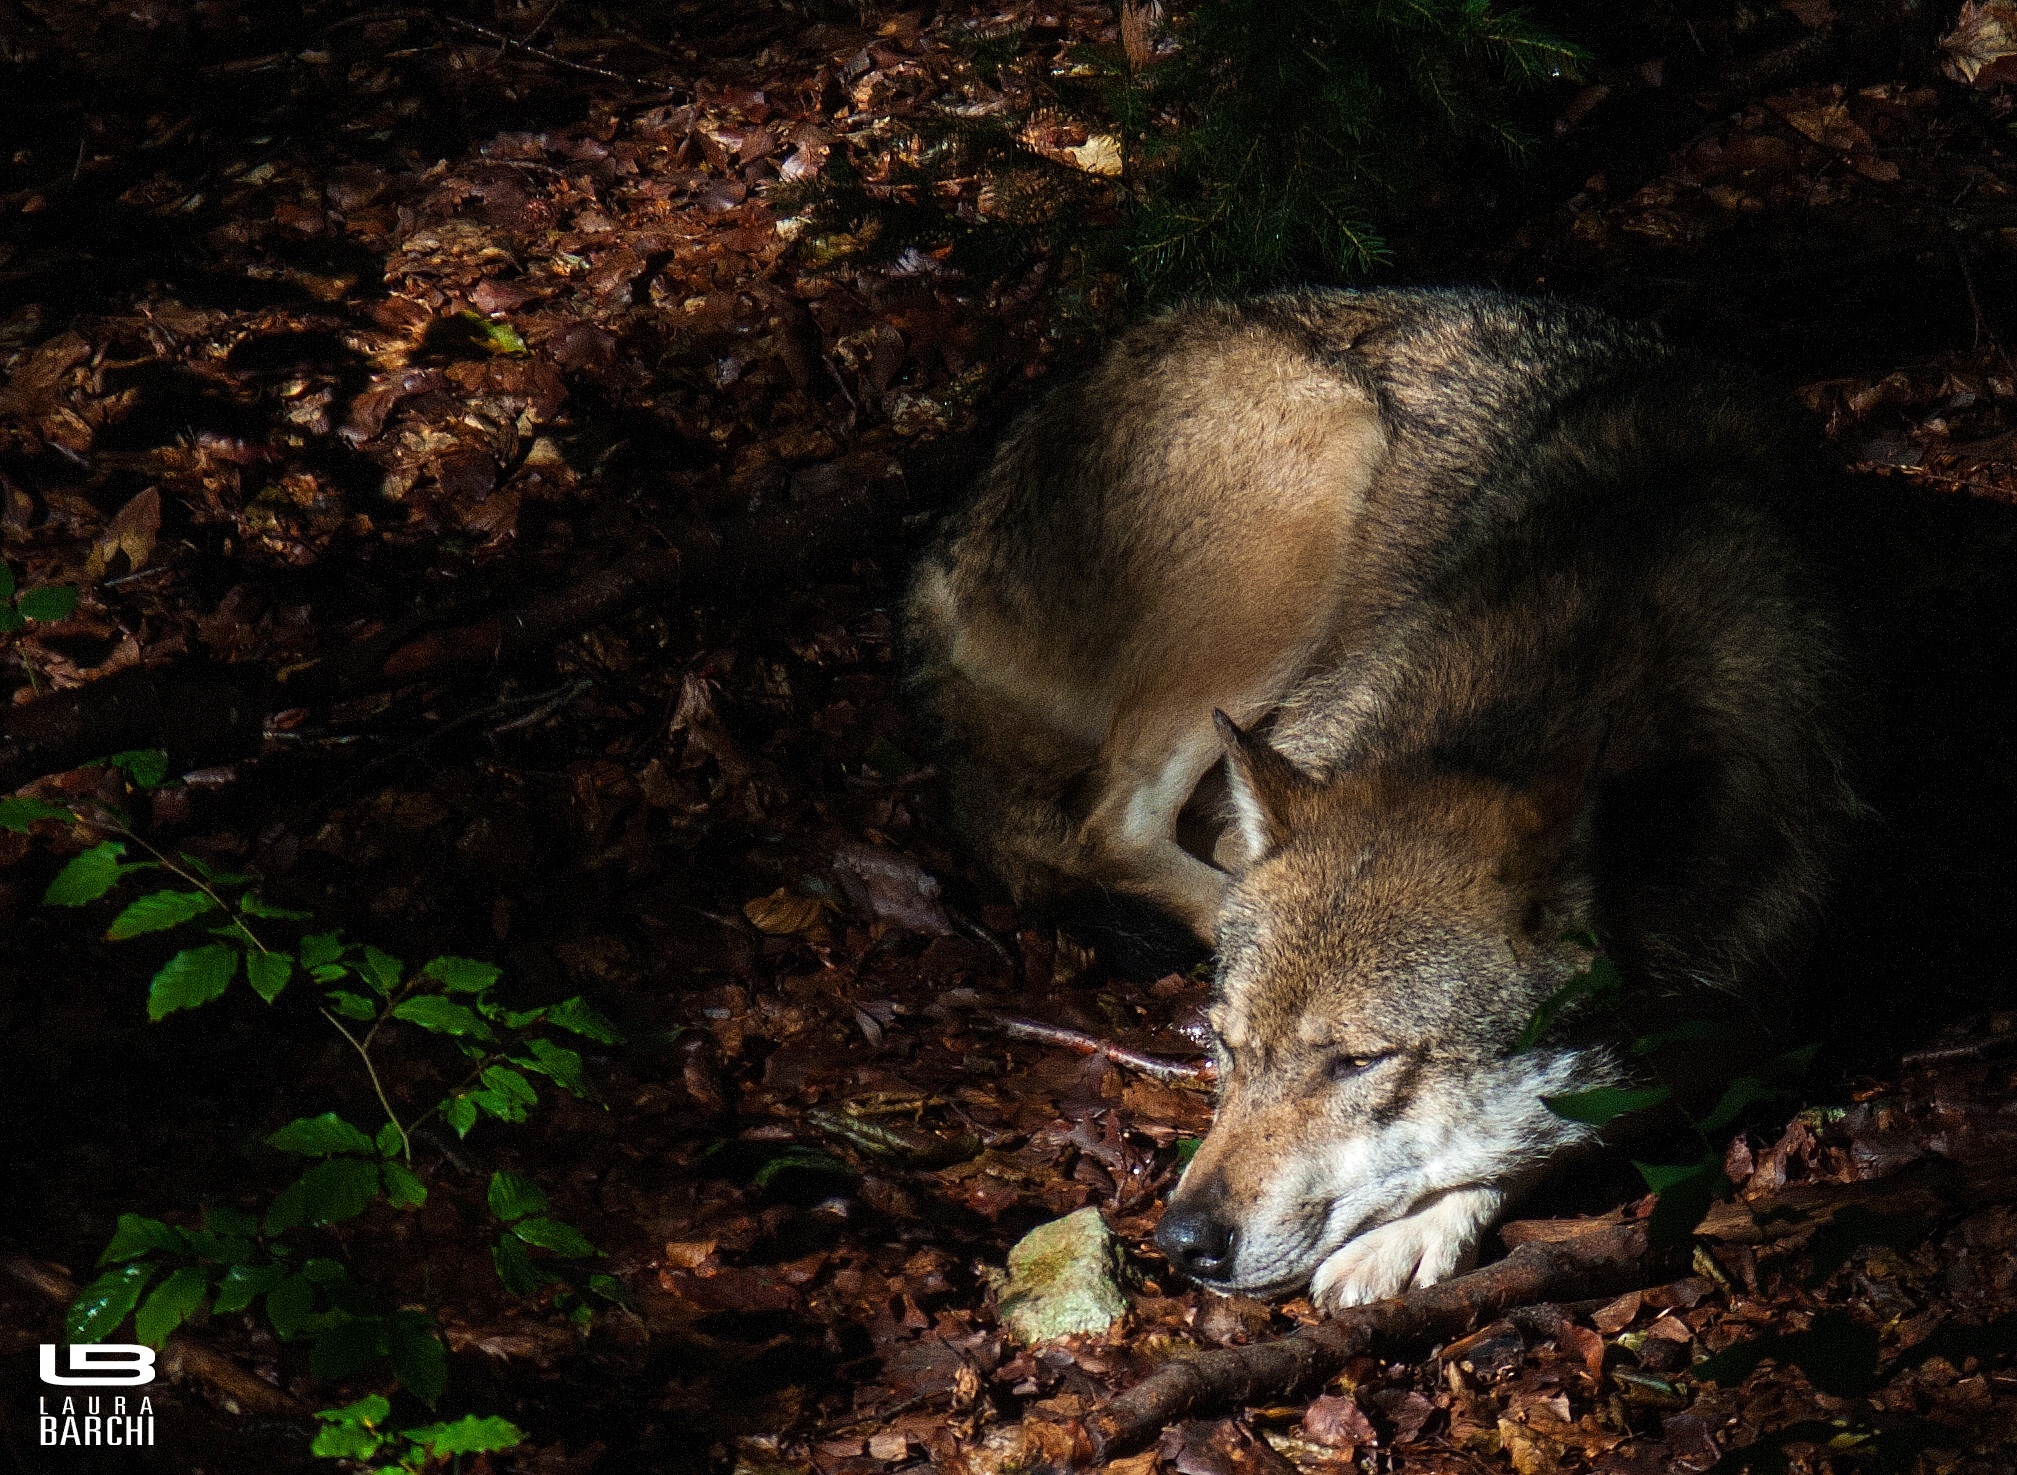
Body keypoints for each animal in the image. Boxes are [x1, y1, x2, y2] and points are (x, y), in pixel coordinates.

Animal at [903, 288, 1859, 1309]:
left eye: (1358, 1062)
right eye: (1232, 1048)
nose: (1183, 1239)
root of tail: (934, 557)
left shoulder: (1759, 1015)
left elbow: (1554, 1121)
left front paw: (1423, 1223)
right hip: (1326, 464)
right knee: (1109, 820)